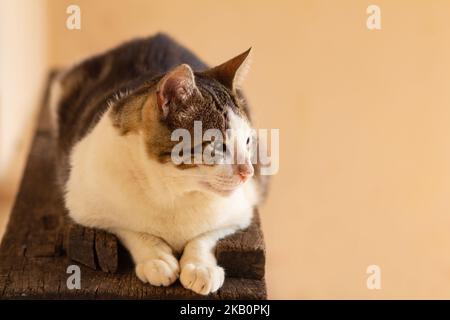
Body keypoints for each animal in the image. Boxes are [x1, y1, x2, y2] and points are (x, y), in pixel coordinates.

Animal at [49, 32, 268, 296]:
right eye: (217, 146)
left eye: (247, 141)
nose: (248, 172)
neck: (173, 189)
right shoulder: (86, 207)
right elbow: (130, 228)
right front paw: (156, 259)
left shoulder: (241, 210)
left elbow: (206, 235)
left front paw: (200, 266)